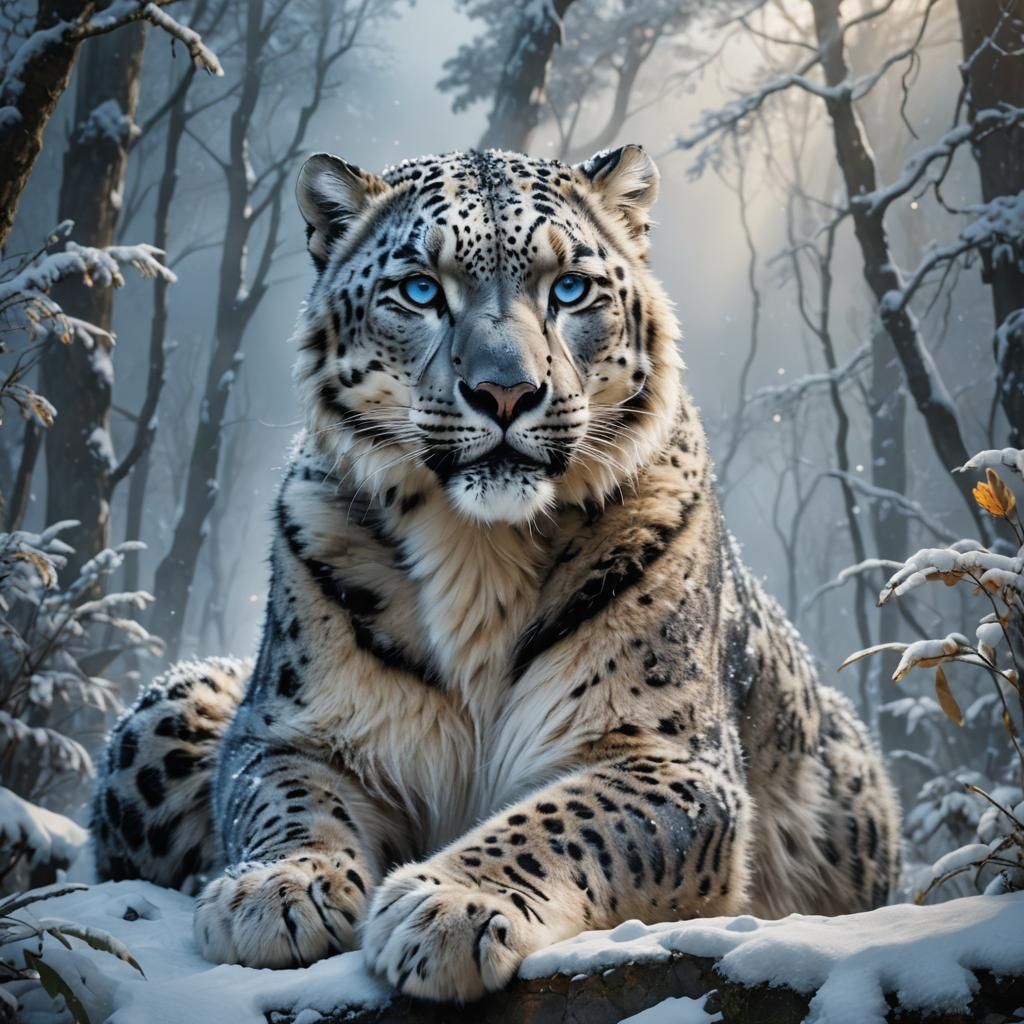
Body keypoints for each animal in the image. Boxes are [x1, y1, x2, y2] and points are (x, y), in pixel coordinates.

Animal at [91, 144, 901, 1003]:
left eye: (570, 287)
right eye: (420, 289)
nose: (505, 391)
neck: (479, 554)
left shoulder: (666, 752)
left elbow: (571, 819)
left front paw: (449, 906)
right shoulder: (287, 728)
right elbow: (285, 800)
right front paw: (279, 890)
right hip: (175, 699)